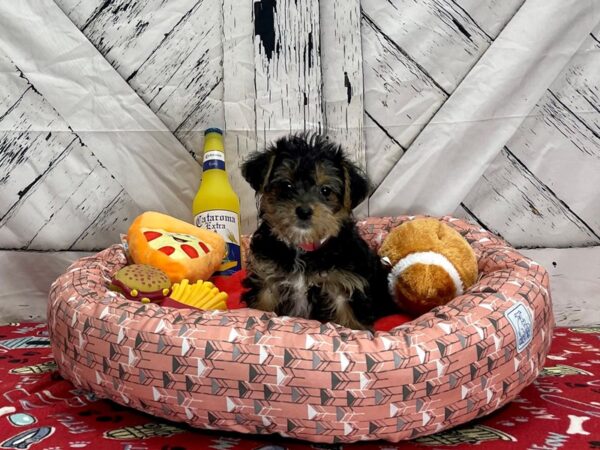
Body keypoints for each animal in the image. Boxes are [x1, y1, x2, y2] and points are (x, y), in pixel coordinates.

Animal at [239, 132, 398, 328]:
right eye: (287, 185)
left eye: (326, 190)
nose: (304, 211)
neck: (303, 246)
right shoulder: (266, 280)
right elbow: (262, 306)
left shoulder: (344, 286)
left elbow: (349, 321)